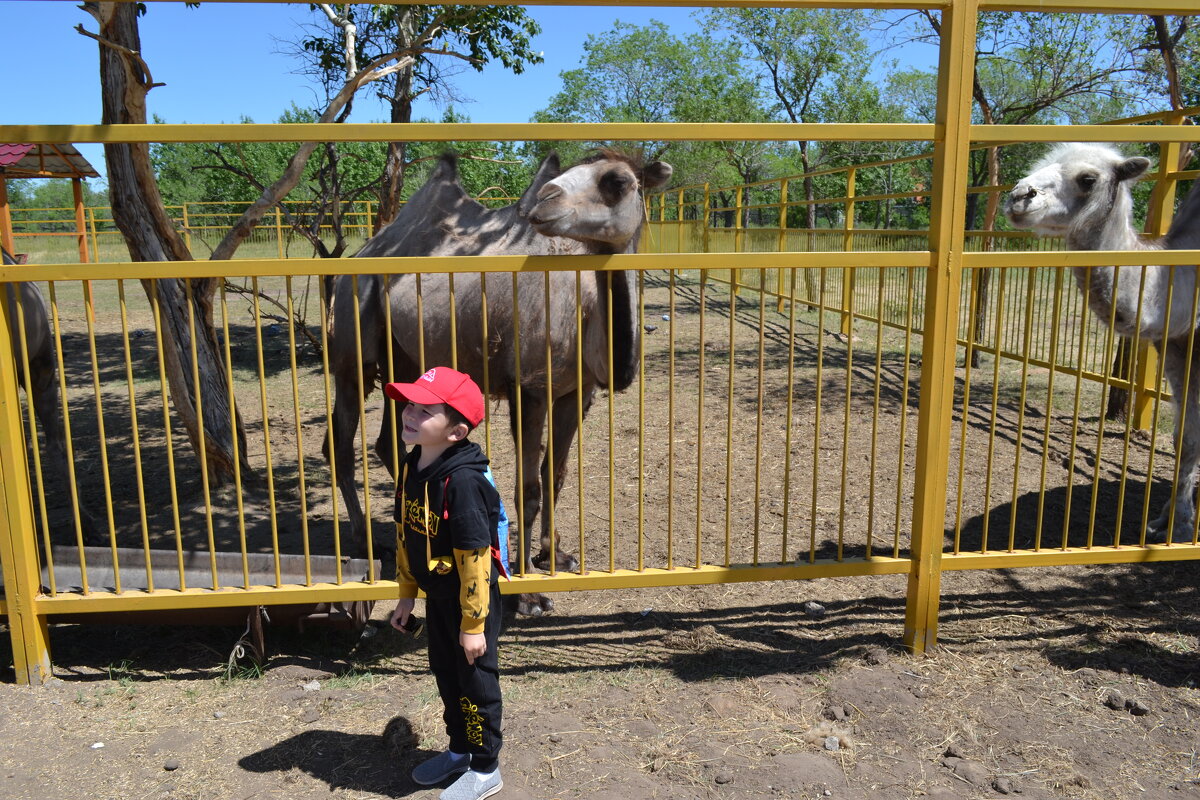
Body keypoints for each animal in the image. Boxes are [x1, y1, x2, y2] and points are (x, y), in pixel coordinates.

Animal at [324, 149, 672, 614]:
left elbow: (555, 475)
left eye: (616, 181)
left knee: (388, 441)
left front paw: (555, 553)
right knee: (341, 440)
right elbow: (529, 487)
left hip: (406, 357)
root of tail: (362, 255)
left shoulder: (576, 392)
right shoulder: (530, 389)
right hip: (353, 338)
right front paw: (529, 593)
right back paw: (366, 543)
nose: (544, 201)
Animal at [1003, 142, 1200, 544]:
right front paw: (1171, 523)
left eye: (1087, 179)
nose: (1018, 196)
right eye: (1044, 163)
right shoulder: (1176, 343)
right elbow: (1185, 439)